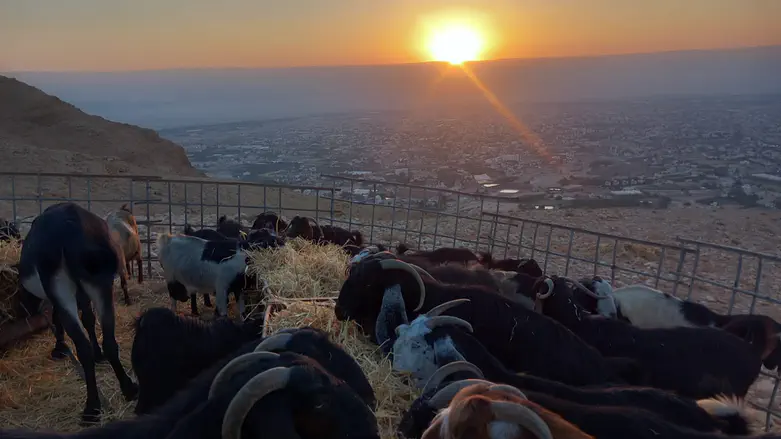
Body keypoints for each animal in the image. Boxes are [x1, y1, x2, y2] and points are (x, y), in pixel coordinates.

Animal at [16, 204, 137, 426]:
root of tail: (72, 229)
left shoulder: (57, 295)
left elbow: (58, 318)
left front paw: (59, 348)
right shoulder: (84, 292)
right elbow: (89, 319)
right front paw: (99, 354)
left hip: (62, 288)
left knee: (83, 349)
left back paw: (92, 408)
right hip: (101, 284)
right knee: (109, 341)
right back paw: (129, 388)